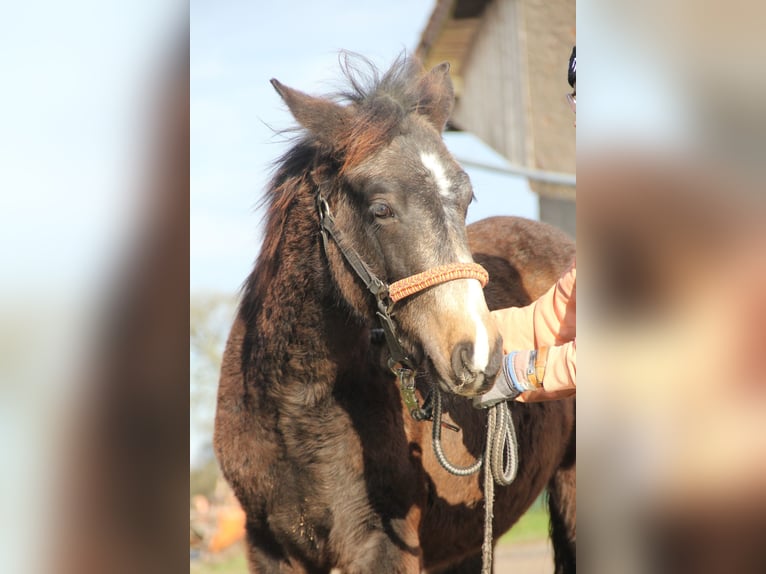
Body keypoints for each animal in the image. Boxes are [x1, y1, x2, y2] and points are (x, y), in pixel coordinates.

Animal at [214, 55, 576, 574]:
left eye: (466, 200)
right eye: (381, 208)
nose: (479, 355)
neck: (294, 404)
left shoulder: (382, 547)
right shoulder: (268, 548)